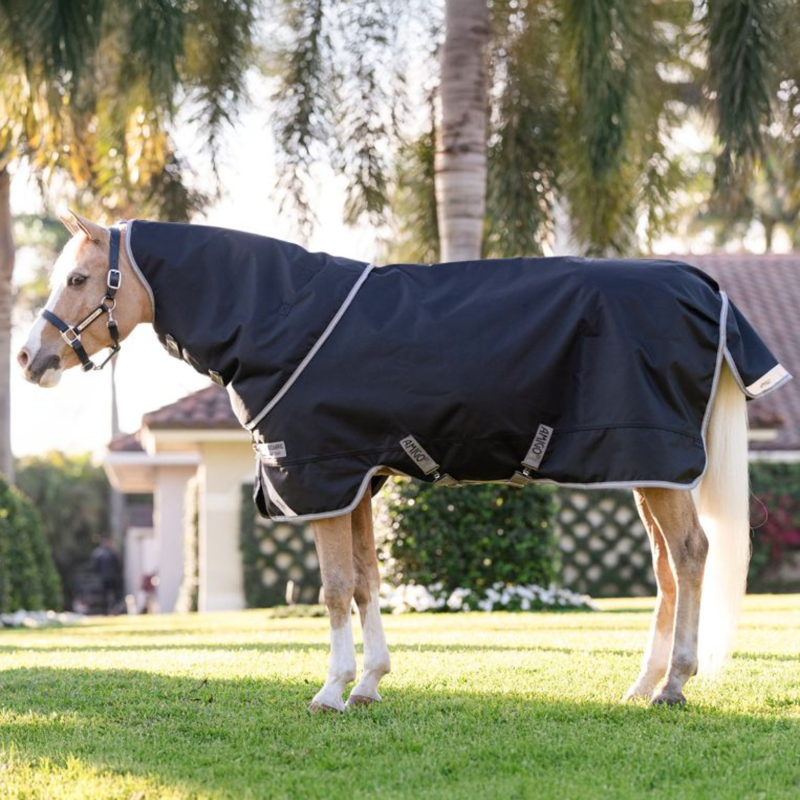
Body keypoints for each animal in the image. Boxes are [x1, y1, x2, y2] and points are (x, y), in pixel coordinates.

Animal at [18, 211, 777, 710]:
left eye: (80, 277)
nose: (29, 358)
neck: (277, 318)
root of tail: (702, 285)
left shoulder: (321, 477)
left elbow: (331, 588)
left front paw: (330, 690)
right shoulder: (357, 480)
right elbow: (364, 582)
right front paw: (369, 682)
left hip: (658, 463)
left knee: (691, 554)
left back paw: (675, 684)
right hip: (646, 469)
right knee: (667, 568)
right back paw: (642, 684)